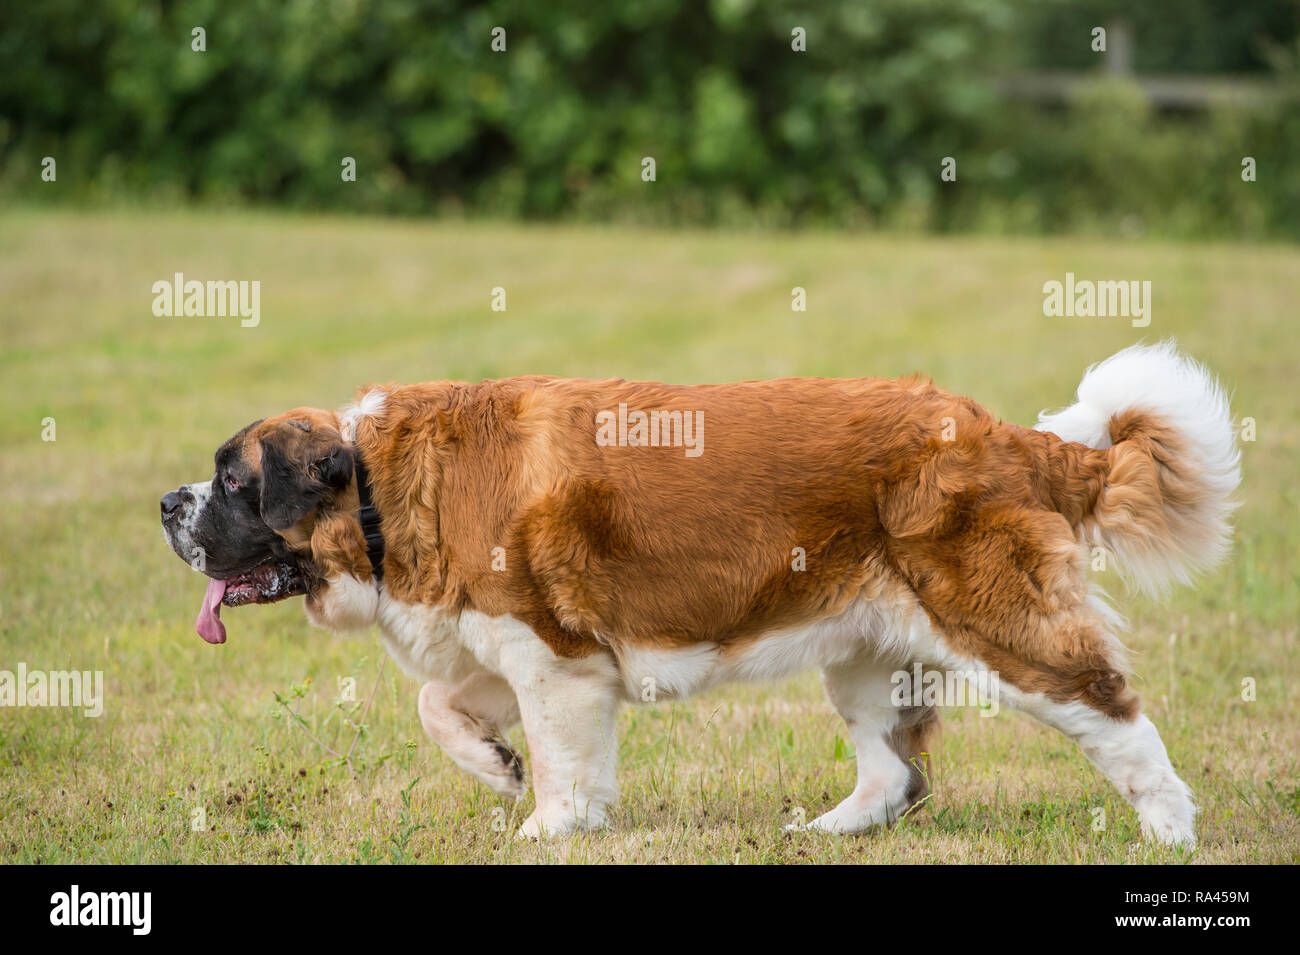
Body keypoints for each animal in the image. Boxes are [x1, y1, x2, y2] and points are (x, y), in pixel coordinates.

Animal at [159, 343, 1237, 841]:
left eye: (233, 480)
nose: (168, 502)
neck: (380, 490)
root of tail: (1009, 435)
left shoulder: (554, 658)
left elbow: (561, 759)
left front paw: (548, 824)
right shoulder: (520, 643)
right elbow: (439, 702)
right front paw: (497, 767)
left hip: (996, 624)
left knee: (1112, 710)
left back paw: (1170, 831)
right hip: (862, 649)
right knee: (895, 771)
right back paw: (826, 832)